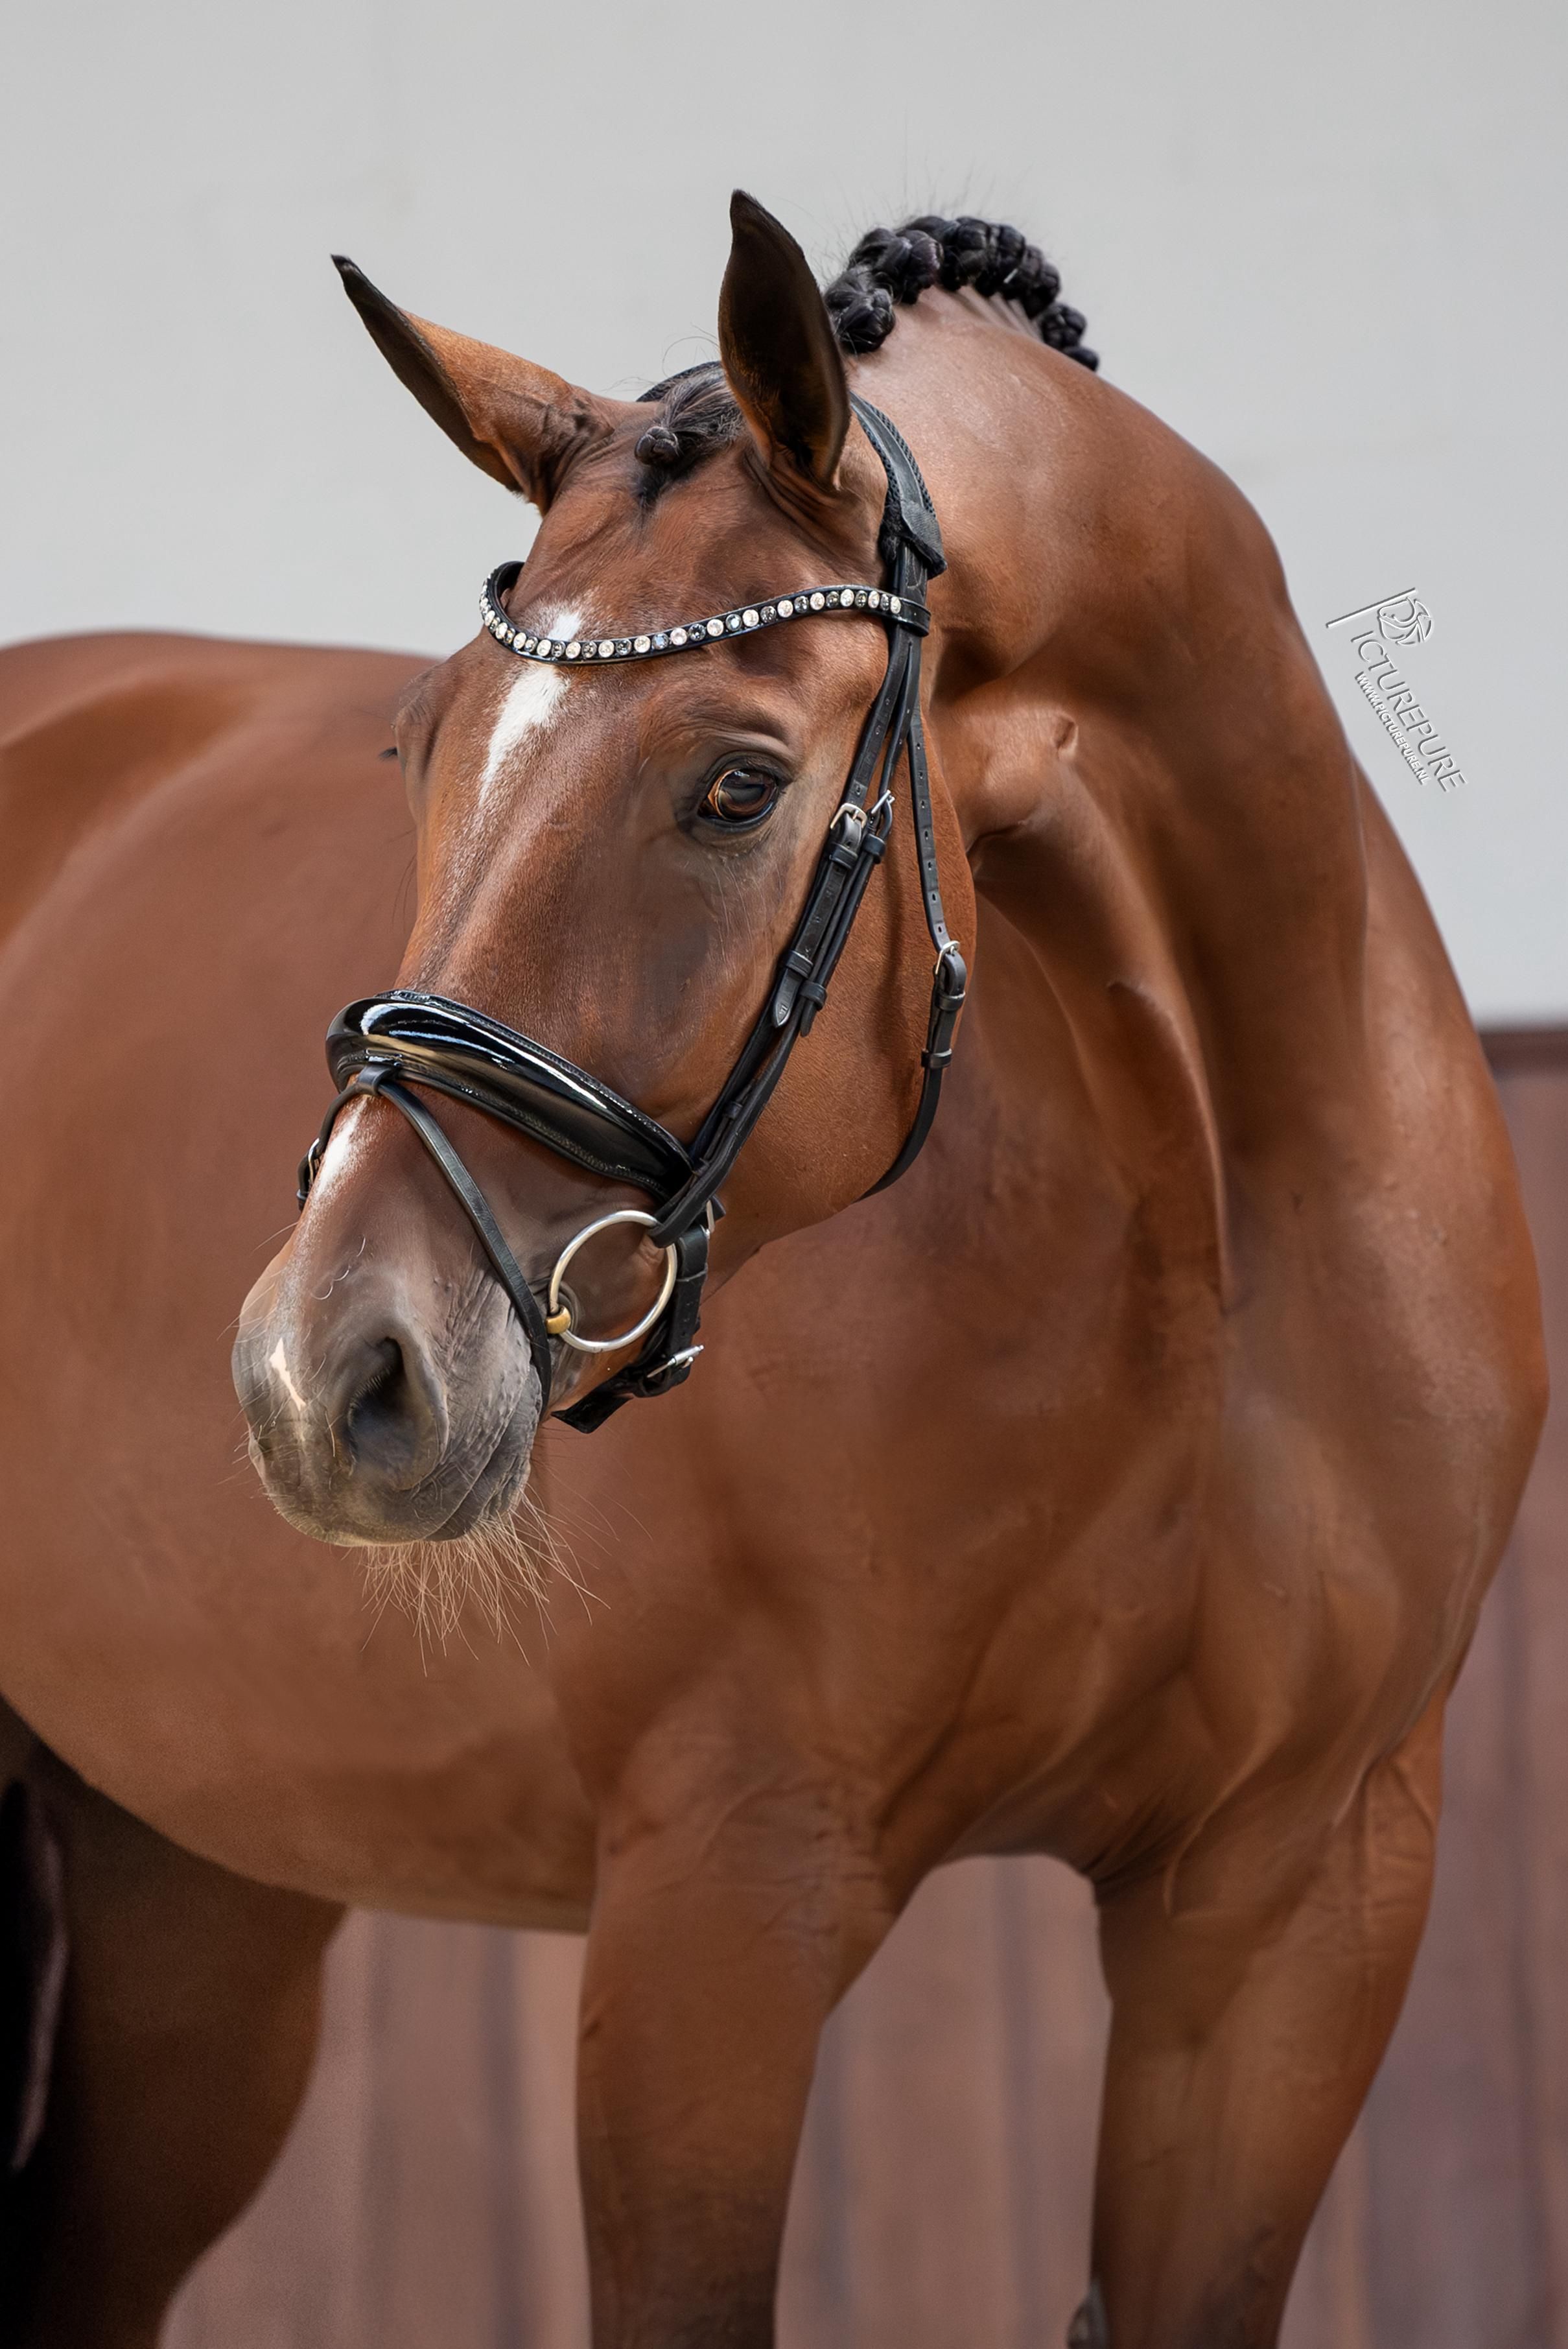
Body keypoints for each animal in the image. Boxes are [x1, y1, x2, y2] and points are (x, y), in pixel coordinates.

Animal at [0, 192, 1543, 2348]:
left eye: (734, 782)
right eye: (421, 747)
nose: (326, 1376)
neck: (1211, 1229)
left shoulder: (1293, 1910)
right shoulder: (720, 1902)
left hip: (191, 1883)